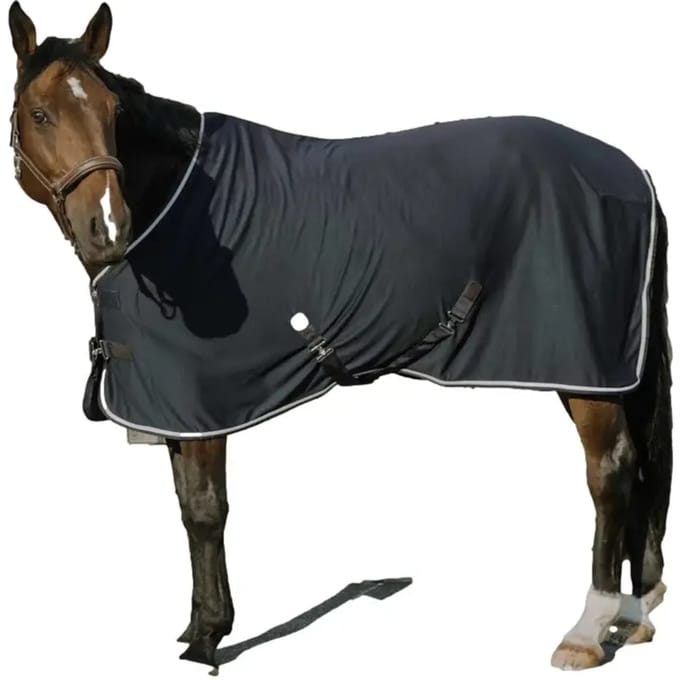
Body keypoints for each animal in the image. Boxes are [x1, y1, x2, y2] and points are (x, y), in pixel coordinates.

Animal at [7, 1, 673, 673]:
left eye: (112, 112)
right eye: (39, 113)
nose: (107, 226)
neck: (178, 205)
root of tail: (632, 173)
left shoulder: (203, 399)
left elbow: (204, 509)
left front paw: (208, 639)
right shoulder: (175, 407)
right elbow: (184, 504)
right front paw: (197, 624)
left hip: (587, 365)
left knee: (611, 471)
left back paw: (586, 630)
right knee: (643, 467)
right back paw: (634, 615)